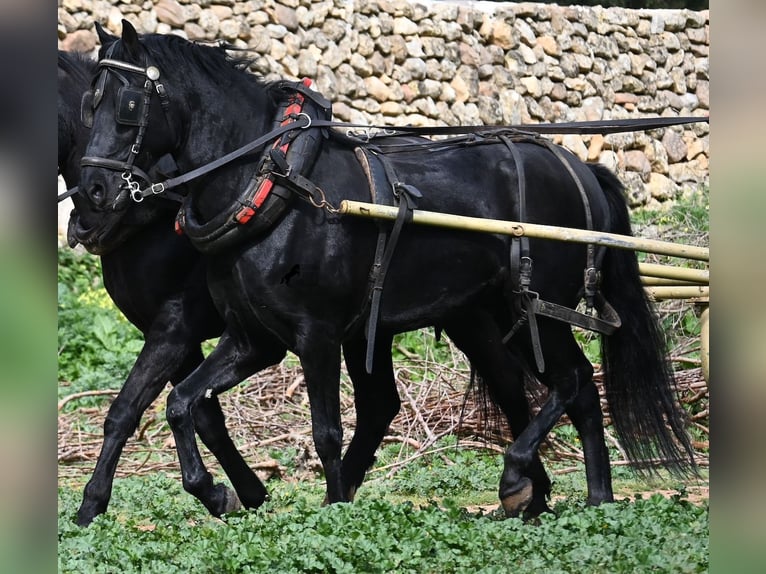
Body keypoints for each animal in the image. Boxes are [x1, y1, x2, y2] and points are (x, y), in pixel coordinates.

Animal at [74, 20, 695, 520]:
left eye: (127, 105)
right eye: (89, 104)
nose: (93, 194)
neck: (273, 182)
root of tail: (579, 166)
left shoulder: (316, 335)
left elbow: (325, 429)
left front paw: (330, 510)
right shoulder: (252, 339)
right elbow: (182, 404)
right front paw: (216, 493)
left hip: (540, 310)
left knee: (572, 381)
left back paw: (520, 478)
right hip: (500, 316)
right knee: (571, 392)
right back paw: (593, 499)